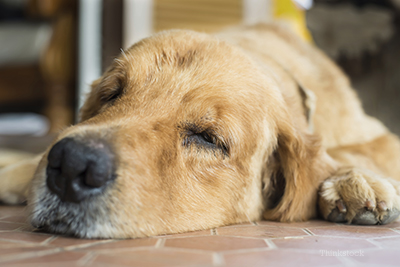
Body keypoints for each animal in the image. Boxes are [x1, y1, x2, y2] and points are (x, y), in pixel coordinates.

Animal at [0, 24, 400, 240]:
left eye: (208, 138)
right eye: (111, 93)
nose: (72, 164)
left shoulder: (381, 136)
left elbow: (349, 150)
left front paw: (353, 181)